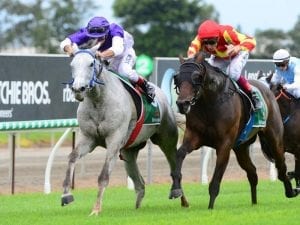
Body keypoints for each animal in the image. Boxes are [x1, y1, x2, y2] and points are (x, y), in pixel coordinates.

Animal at [60, 44, 178, 214]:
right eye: (72, 65)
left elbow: (103, 175)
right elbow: (72, 157)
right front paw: (66, 195)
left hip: (166, 137)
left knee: (174, 161)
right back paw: (137, 207)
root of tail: (163, 96)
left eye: (91, 64)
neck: (99, 101)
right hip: (130, 151)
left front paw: (96, 209)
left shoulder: (114, 140)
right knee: (140, 183)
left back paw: (178, 192)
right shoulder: (89, 138)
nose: (78, 89)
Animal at [170, 52, 298, 209]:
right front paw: (175, 189)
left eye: (196, 76)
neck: (210, 103)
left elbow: (216, 180)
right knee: (252, 172)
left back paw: (290, 191)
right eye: (177, 77)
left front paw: (210, 208)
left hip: (274, 137)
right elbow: (179, 154)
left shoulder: (224, 144)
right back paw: (254, 202)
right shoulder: (194, 136)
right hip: (241, 147)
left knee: (281, 165)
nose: (182, 104)